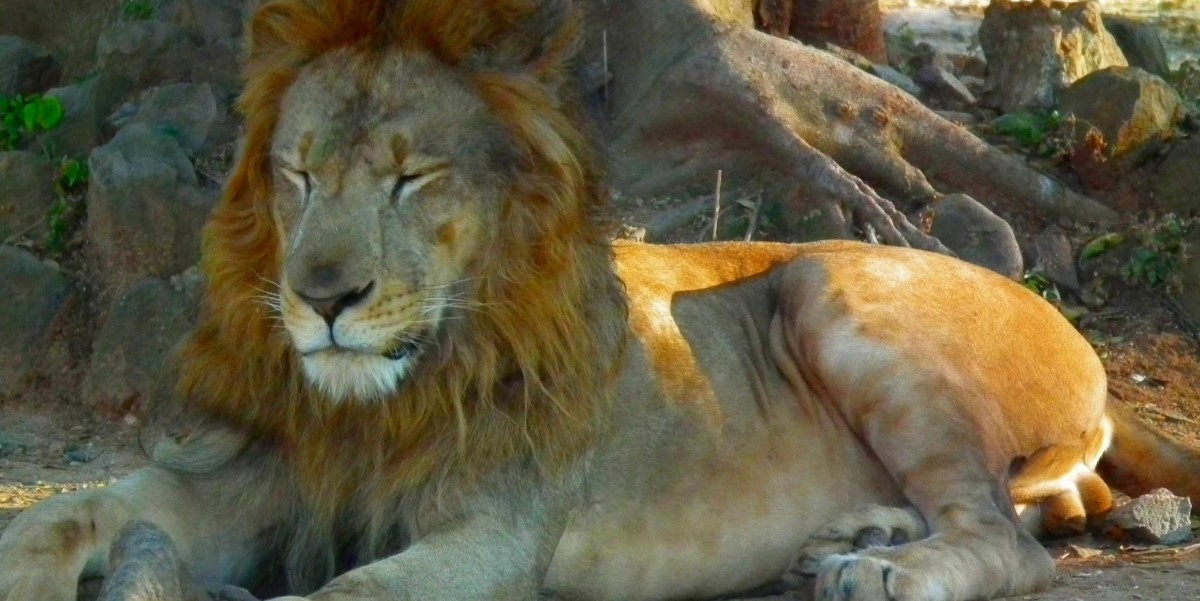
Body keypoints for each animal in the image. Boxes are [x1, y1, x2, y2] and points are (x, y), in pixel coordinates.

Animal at [1, 1, 1197, 600]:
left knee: (1012, 540)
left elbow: (348, 594)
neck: (378, 398)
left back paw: (877, 568)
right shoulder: (228, 484)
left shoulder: (498, 533)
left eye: (412, 178)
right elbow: (57, 515)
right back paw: (853, 530)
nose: (323, 296)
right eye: (297, 174)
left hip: (830, 281)